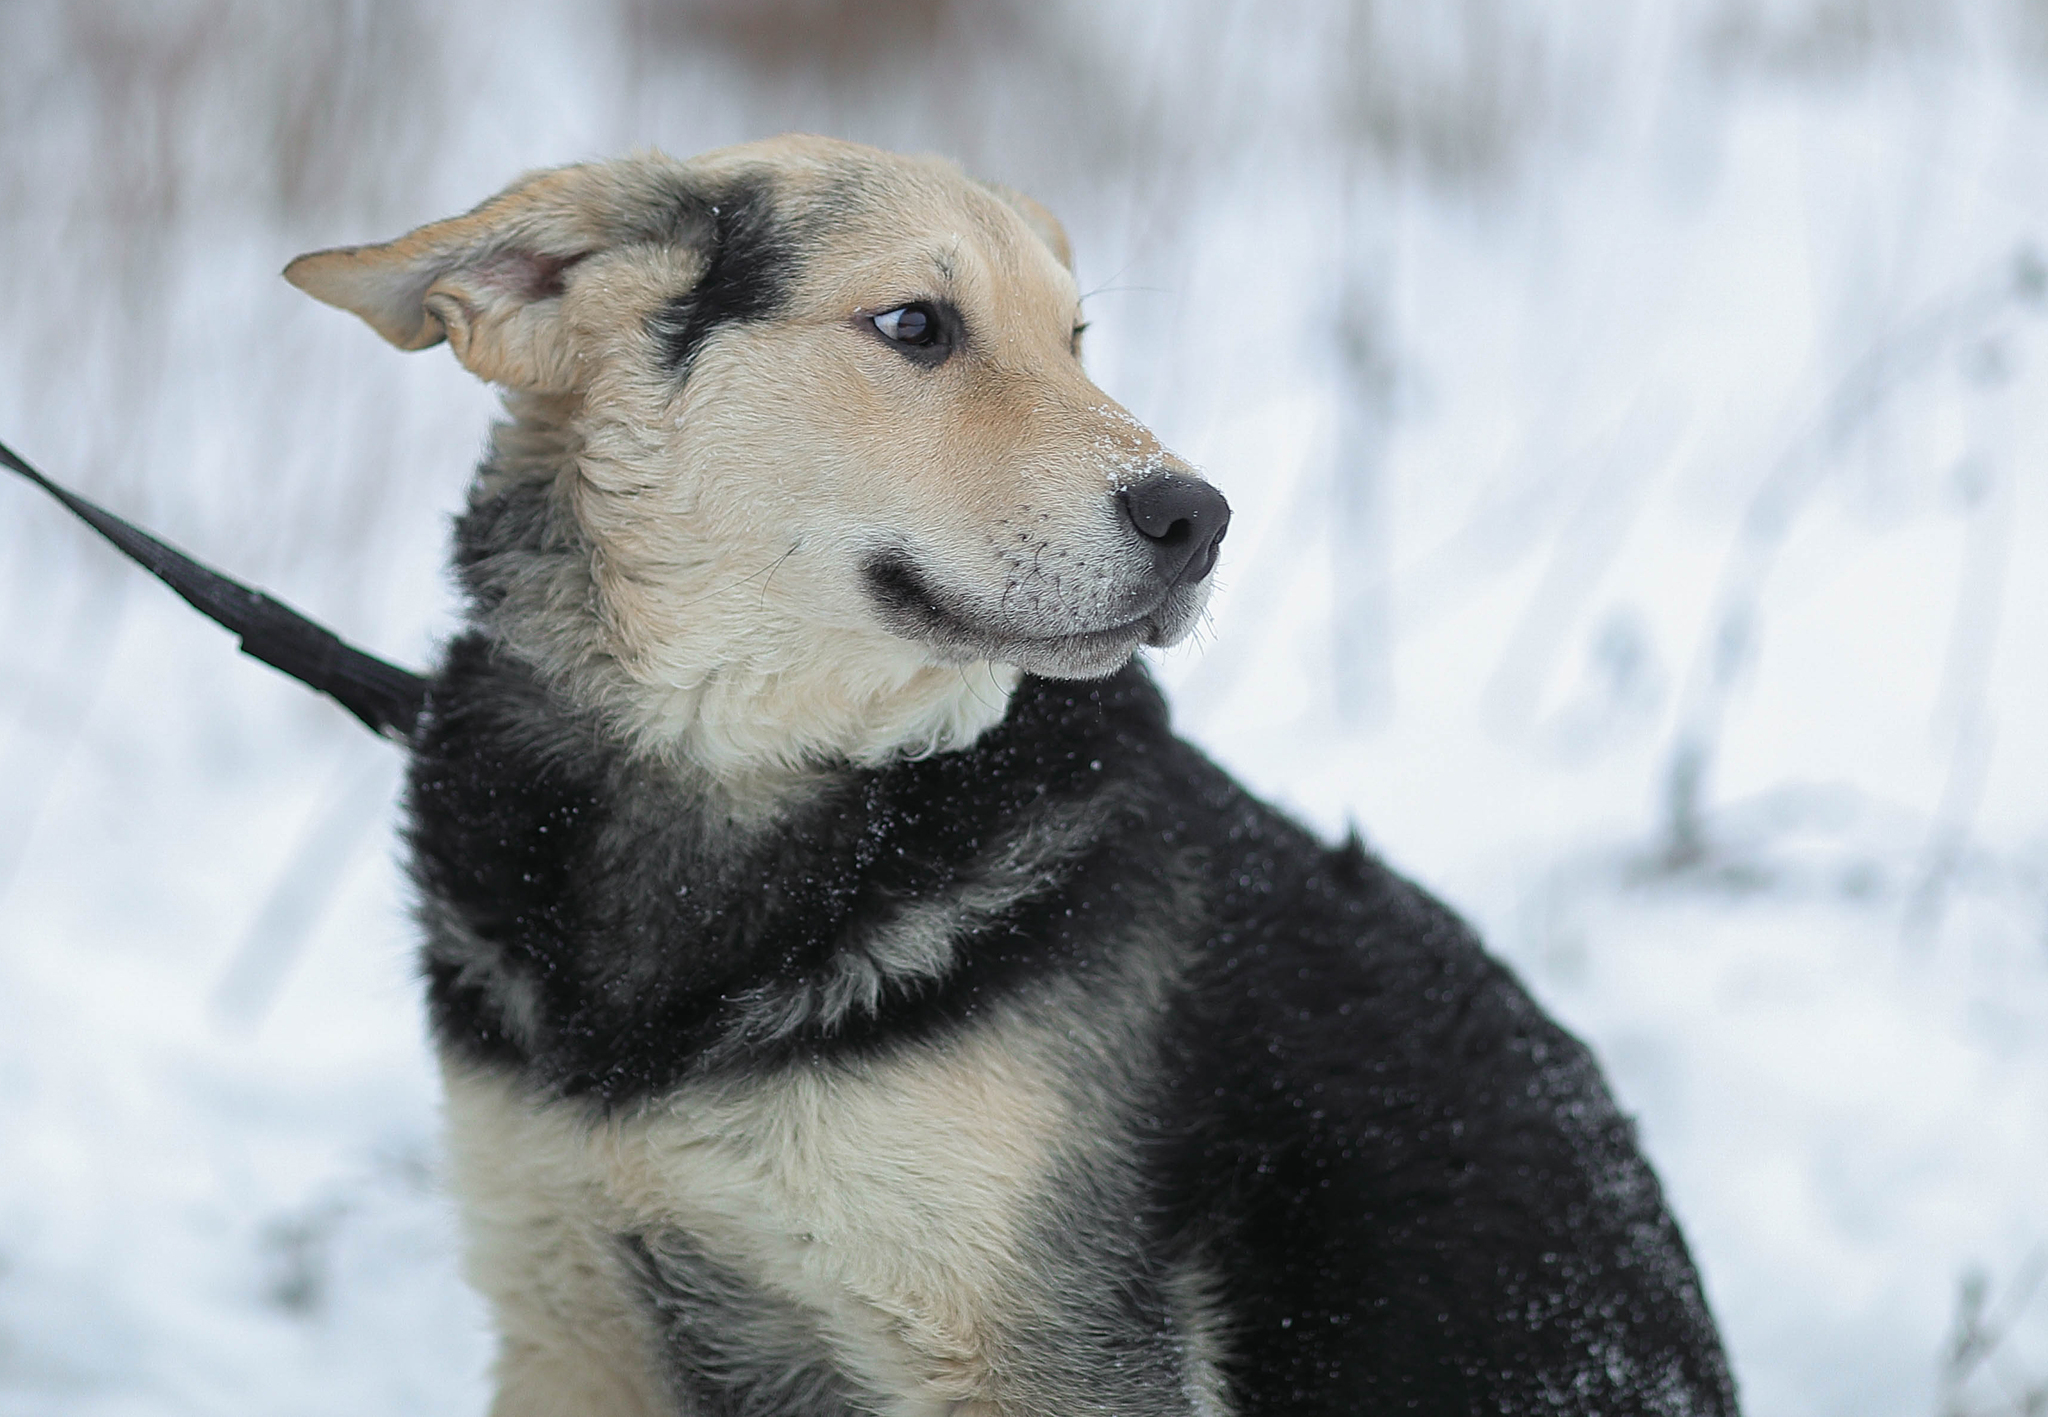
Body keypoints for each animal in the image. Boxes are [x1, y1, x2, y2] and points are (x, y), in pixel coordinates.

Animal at [280, 135, 1736, 1416]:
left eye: (1075, 341)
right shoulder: (571, 1303)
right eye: (916, 326)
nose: (1199, 519)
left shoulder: (1033, 1349)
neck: (741, 774)